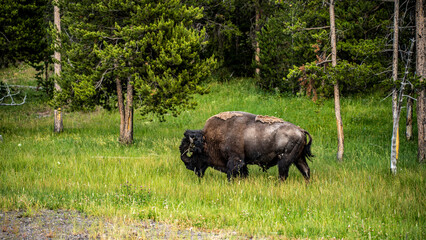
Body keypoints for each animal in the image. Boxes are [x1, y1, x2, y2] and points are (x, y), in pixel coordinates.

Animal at [180, 111, 312, 181]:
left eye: (194, 153)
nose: (189, 167)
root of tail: (301, 130)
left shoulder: (235, 160)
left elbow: (231, 174)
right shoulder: (242, 163)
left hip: (284, 160)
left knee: (283, 175)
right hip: (299, 159)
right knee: (305, 171)